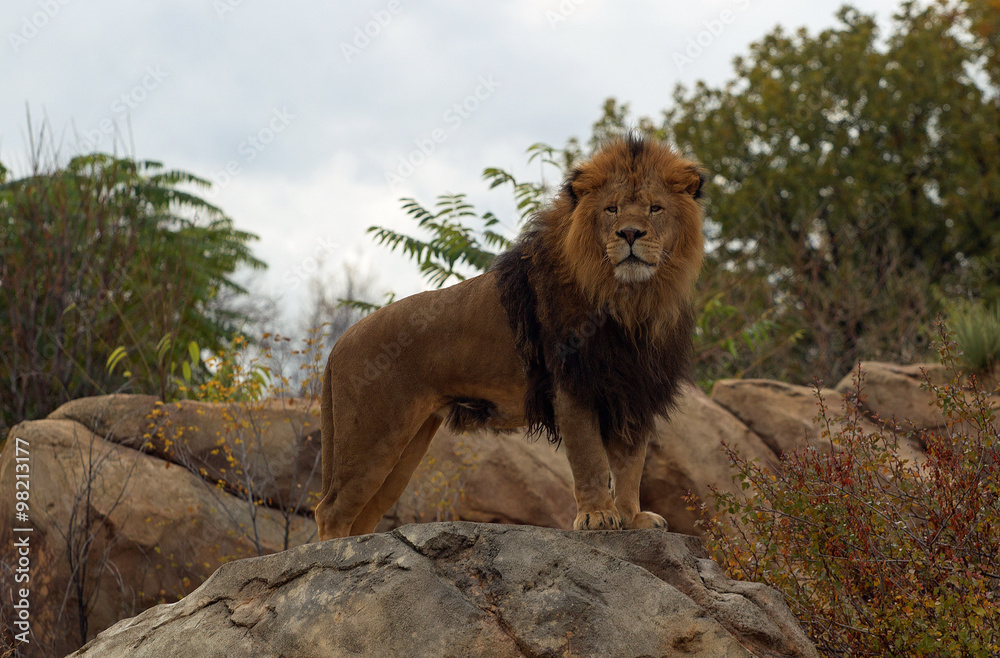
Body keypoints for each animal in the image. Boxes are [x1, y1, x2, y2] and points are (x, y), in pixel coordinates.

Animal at [315, 134, 705, 540]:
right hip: (371, 437)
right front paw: (596, 517)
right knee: (331, 510)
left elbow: (630, 464)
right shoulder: (573, 385)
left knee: (364, 514)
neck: (632, 300)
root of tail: (339, 343)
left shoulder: (635, 390)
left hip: (407, 445)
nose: (629, 233)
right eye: (611, 209)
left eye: (655, 209)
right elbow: (591, 458)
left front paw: (633, 518)